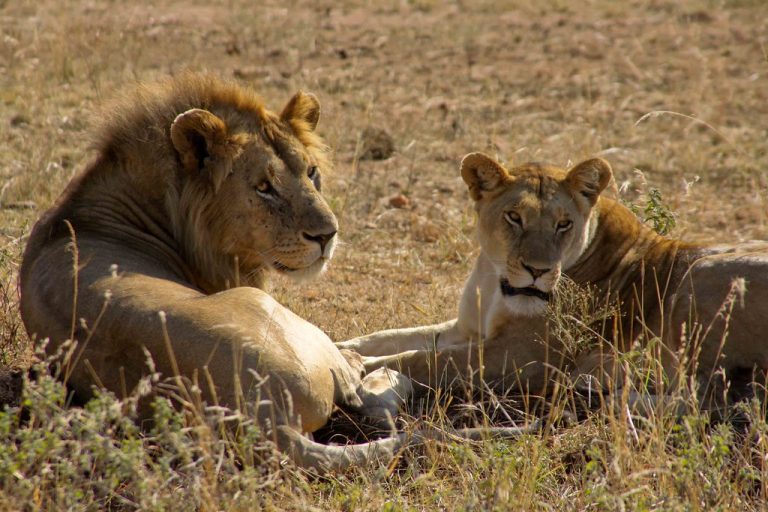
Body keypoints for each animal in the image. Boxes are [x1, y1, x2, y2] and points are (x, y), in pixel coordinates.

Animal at [18, 75, 534, 472]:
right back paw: (378, 371)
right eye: (264, 187)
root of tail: (266, 421)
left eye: (312, 173)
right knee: (367, 398)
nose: (327, 235)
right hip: (275, 314)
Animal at [339, 152, 768, 410]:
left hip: (699, 275)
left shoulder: (523, 356)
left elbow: (421, 358)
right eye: (514, 217)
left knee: (693, 389)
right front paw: (342, 347)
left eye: (564, 224)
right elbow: (391, 337)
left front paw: (356, 367)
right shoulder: (467, 327)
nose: (538, 270)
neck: (494, 282)